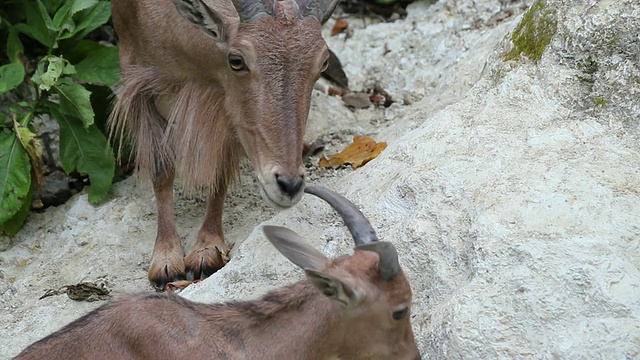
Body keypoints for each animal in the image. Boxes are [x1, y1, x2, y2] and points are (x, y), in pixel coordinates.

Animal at [109, 0, 340, 288]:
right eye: (236, 60)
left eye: (323, 62)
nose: (289, 185)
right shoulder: (137, 76)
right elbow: (161, 169)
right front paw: (166, 261)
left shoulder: (227, 108)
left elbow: (220, 172)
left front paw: (206, 250)